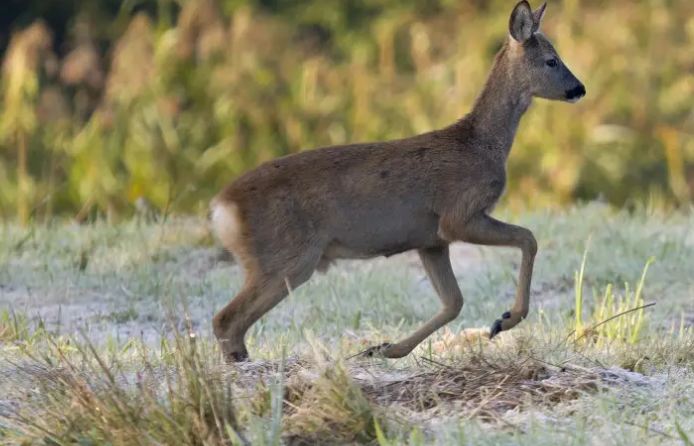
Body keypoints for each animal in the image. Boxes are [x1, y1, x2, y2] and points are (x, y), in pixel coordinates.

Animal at [212, 0, 588, 362]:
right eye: (552, 60)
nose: (579, 88)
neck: (480, 145)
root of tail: (222, 206)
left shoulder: (430, 239)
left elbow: (453, 302)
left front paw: (386, 348)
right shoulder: (459, 214)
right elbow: (529, 238)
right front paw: (504, 320)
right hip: (287, 256)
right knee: (225, 319)